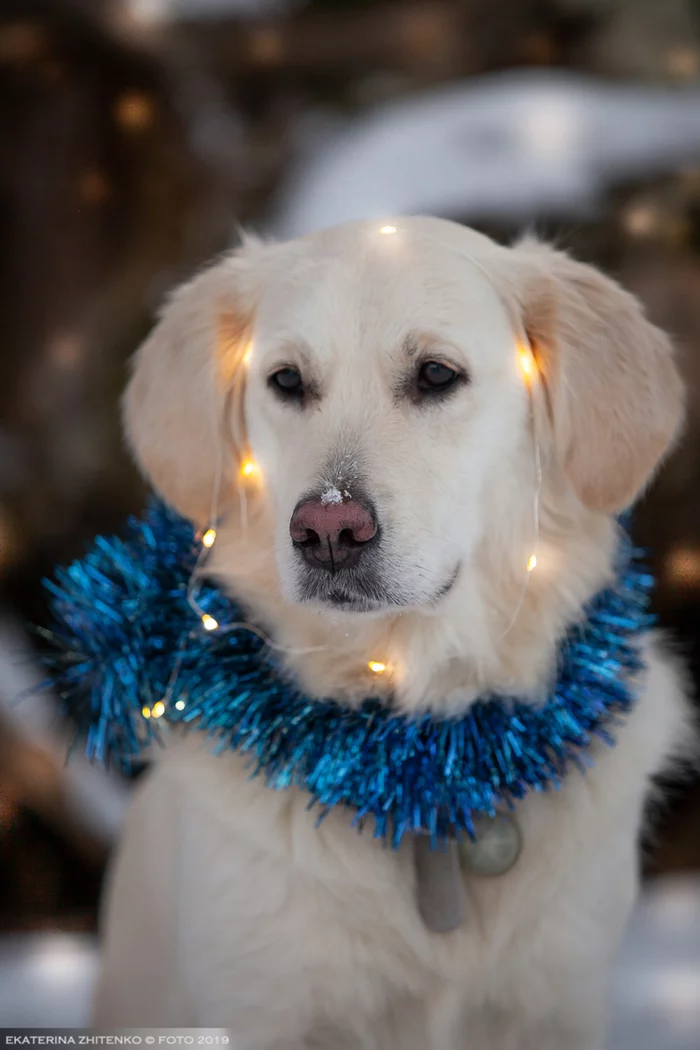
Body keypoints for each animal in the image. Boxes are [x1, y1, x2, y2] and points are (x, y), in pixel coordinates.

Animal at [92, 217, 688, 1045]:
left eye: (436, 375)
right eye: (286, 381)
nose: (328, 531)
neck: (422, 761)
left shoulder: (556, 1005)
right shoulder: (260, 1005)